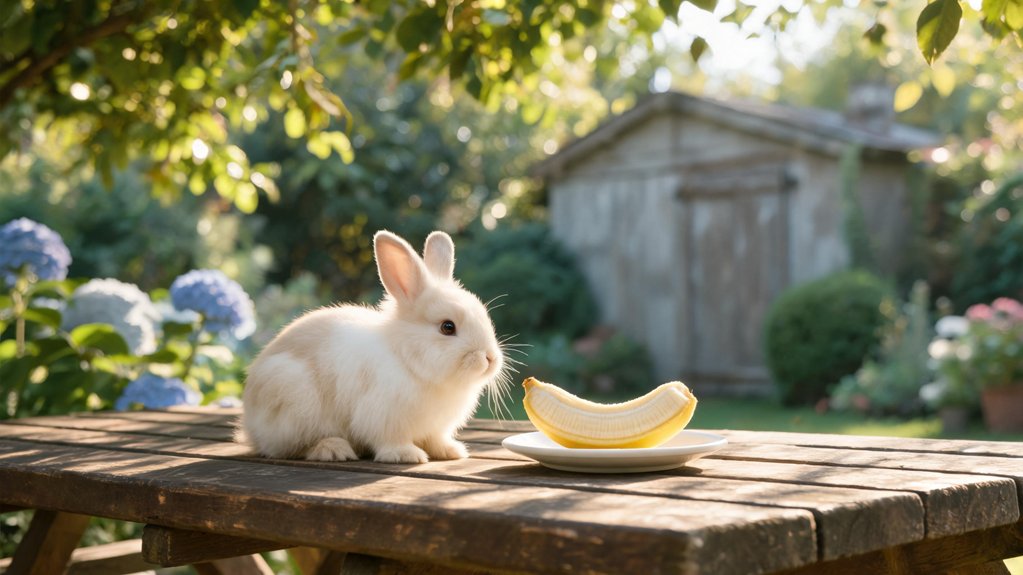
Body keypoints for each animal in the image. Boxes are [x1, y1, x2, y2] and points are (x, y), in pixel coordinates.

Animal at [237, 230, 507, 464]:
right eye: (447, 327)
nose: (490, 358)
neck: (407, 359)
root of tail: (250, 426)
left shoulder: (435, 427)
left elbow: (435, 439)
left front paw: (451, 451)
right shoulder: (382, 416)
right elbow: (390, 439)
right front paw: (407, 455)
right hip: (295, 406)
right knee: (289, 448)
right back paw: (333, 449)